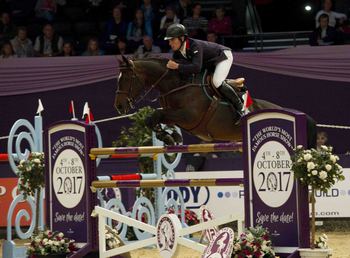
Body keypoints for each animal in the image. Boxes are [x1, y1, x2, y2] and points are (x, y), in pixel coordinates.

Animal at [115, 56, 282, 145]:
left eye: (126, 79)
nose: (118, 106)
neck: (177, 84)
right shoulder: (174, 115)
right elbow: (152, 119)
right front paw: (170, 137)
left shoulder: (188, 117)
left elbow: (157, 114)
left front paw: (169, 137)